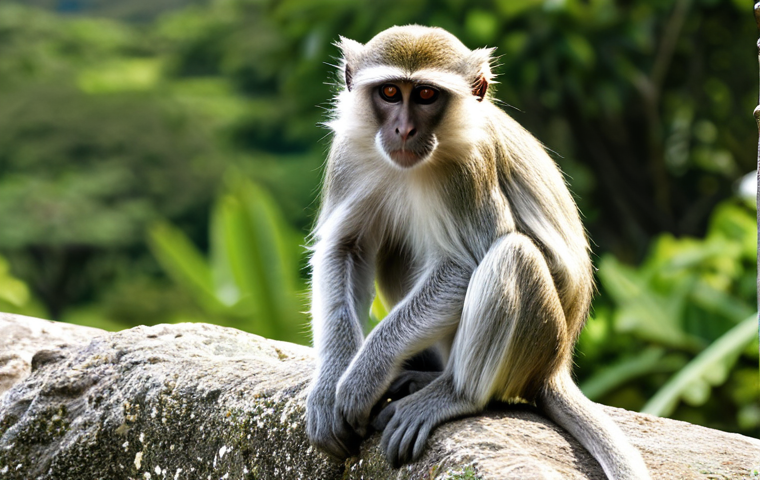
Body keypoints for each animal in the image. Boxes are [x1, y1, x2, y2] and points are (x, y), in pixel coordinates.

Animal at [305, 25, 650, 480]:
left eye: (427, 95)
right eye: (391, 92)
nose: (403, 130)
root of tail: (555, 367)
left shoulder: (470, 168)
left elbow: (466, 265)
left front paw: (363, 378)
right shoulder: (349, 152)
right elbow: (345, 247)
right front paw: (329, 385)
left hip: (539, 342)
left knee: (513, 254)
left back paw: (452, 393)